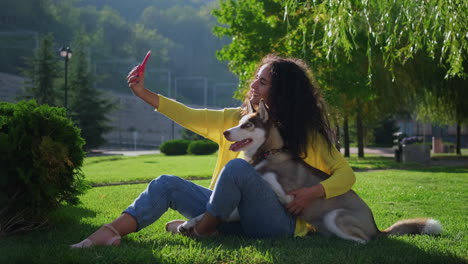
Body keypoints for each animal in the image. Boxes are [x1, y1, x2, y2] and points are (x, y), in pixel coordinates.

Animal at [177, 100, 440, 242]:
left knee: (364, 241)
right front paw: (190, 223)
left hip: (336, 215)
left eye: (247, 125)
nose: (225, 132)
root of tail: (377, 227)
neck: (267, 154)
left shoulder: (286, 193)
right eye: (239, 123)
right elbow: (209, 212)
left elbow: (272, 181)